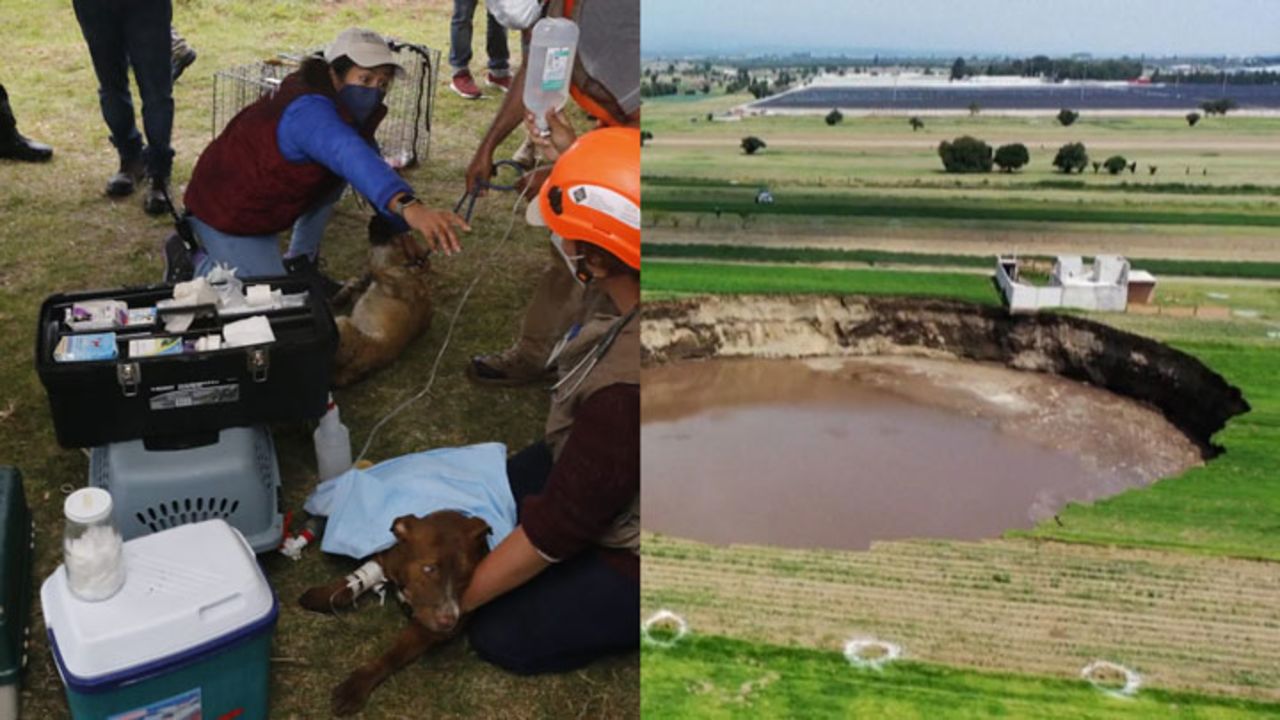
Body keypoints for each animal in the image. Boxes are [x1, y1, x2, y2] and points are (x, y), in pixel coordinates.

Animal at [296, 507, 491, 712]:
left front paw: (358, 684)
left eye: (466, 575)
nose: (449, 621)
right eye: (428, 568)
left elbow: (393, 655)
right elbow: (349, 584)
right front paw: (324, 595)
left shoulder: (426, 630)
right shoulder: (387, 558)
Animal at [332, 213, 432, 386]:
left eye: (390, 228)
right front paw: (347, 289)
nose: (375, 215)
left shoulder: (391, 276)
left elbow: (374, 270)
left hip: (343, 323)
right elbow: (357, 281)